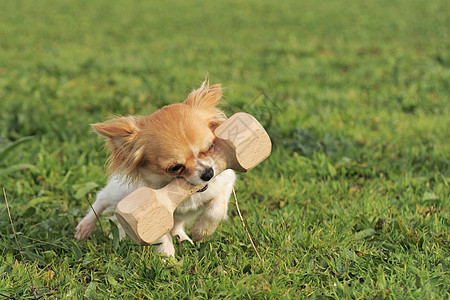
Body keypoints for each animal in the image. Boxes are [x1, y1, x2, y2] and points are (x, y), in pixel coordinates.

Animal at [74, 81, 236, 255]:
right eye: (175, 168)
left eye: (211, 147)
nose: (208, 173)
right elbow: (161, 236)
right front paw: (168, 257)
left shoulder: (225, 182)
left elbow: (217, 208)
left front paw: (202, 231)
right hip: (120, 193)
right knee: (102, 198)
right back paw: (85, 227)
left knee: (177, 224)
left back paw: (182, 237)